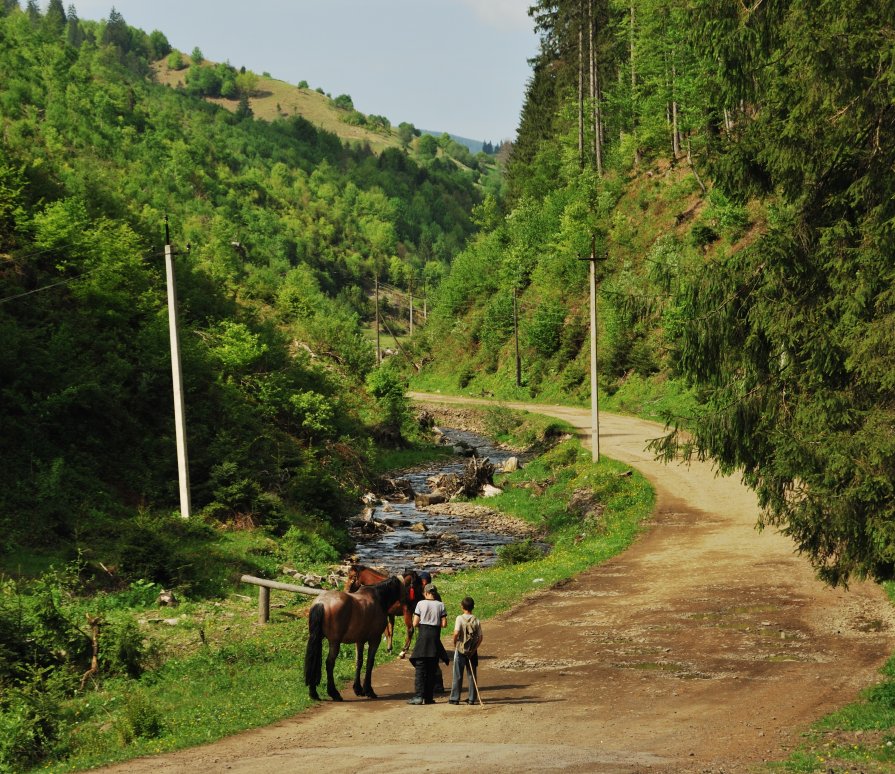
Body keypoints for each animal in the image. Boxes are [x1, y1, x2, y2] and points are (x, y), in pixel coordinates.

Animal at [308, 576, 406, 704]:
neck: (378, 597)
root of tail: (321, 603)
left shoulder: (360, 640)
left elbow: (359, 661)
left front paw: (358, 689)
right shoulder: (375, 639)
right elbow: (370, 662)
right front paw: (369, 690)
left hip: (317, 639)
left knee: (314, 660)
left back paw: (313, 693)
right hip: (334, 642)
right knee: (329, 663)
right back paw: (334, 693)